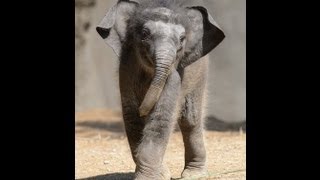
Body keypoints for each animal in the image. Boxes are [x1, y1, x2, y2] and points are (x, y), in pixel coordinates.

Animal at [96, 0, 224, 179]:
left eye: (182, 39)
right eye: (144, 34)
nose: (143, 109)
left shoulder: (176, 75)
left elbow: (161, 116)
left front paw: (149, 176)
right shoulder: (126, 69)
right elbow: (132, 117)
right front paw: (161, 174)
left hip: (200, 72)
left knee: (190, 120)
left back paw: (194, 174)